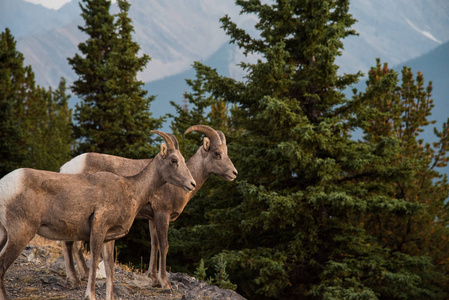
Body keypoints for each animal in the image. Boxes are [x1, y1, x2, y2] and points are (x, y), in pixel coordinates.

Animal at [0, 131, 194, 300]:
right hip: (20, 234)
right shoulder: (98, 227)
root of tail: (5, 185)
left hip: (4, 234)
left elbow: (109, 268)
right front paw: (90, 295)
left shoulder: (110, 238)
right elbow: (94, 262)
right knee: (2, 265)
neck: (131, 190)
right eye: (174, 160)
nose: (191, 184)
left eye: (183, 160)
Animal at [59, 125, 238, 290]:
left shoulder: (152, 218)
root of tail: (66, 168)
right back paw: (77, 278)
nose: (234, 173)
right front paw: (164, 283)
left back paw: (83, 275)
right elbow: (164, 245)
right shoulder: (162, 214)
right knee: (71, 243)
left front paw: (152, 278)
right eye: (217, 153)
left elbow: (154, 244)